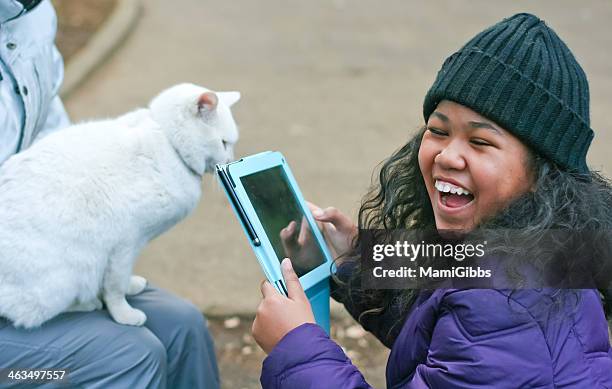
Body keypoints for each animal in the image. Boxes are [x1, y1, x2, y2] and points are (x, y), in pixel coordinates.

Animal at [0, 82, 241, 328]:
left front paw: (131, 286)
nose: (231, 161)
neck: (169, 144)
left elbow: (121, 279)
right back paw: (87, 303)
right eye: (224, 143)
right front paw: (125, 315)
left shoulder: (133, 246)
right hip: (65, 278)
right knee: (27, 314)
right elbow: (114, 288)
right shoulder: (125, 243)